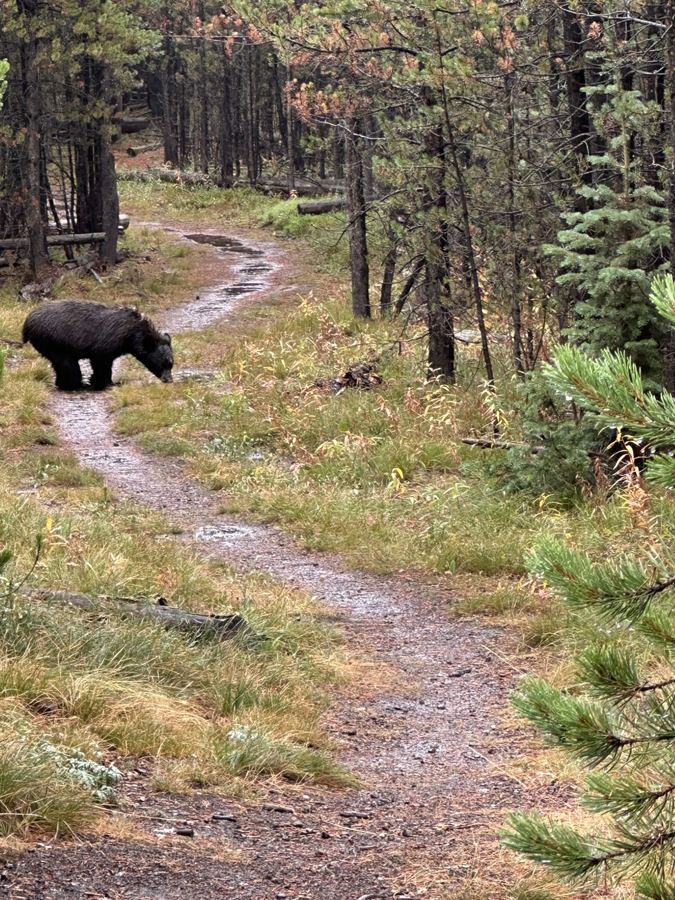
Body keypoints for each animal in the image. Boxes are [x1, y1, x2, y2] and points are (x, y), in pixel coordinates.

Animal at [22, 300, 173, 391]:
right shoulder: (107, 342)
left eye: (171, 364)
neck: (132, 333)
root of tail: (27, 323)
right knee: (67, 364)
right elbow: (101, 362)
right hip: (54, 341)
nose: (169, 380)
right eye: (164, 363)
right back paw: (73, 384)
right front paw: (105, 383)